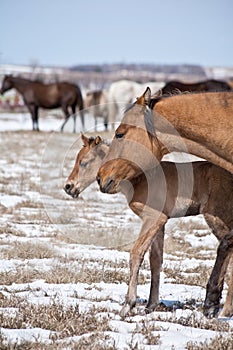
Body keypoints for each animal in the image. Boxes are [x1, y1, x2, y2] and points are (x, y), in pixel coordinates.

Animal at [63, 135, 233, 320]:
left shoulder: (153, 218)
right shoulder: (161, 223)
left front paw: (128, 305)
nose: (68, 187)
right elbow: (155, 260)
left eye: (83, 162)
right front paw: (150, 306)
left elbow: (136, 253)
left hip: (216, 216)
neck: (137, 178)